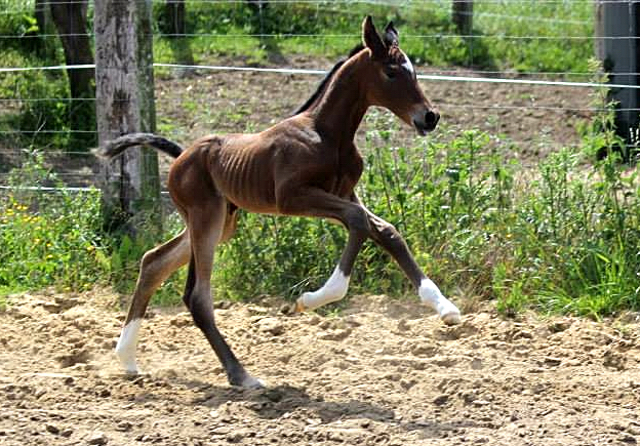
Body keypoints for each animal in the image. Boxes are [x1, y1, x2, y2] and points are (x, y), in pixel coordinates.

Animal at [101, 16, 460, 386]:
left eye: (413, 70)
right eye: (391, 72)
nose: (429, 117)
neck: (327, 134)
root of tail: (180, 156)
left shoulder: (342, 194)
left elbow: (385, 230)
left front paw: (446, 308)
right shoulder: (293, 197)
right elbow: (359, 222)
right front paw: (309, 300)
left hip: (220, 222)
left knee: (153, 262)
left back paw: (127, 358)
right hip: (207, 218)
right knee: (197, 296)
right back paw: (241, 376)